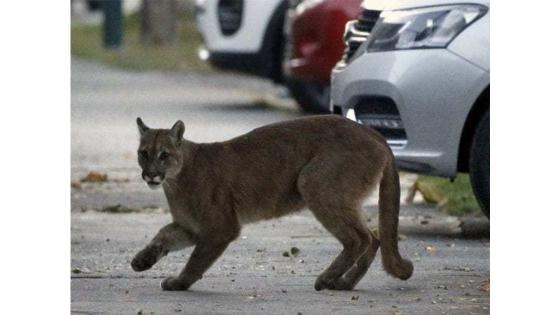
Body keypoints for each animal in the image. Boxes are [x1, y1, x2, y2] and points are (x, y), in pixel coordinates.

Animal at [131, 116, 412, 292]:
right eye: (143, 153)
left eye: (164, 155)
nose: (151, 174)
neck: (174, 181)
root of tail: (373, 132)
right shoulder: (191, 227)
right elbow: (163, 235)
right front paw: (142, 260)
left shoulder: (220, 228)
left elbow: (196, 260)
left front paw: (180, 283)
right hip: (342, 198)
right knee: (374, 236)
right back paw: (345, 284)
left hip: (313, 182)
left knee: (358, 238)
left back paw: (326, 278)